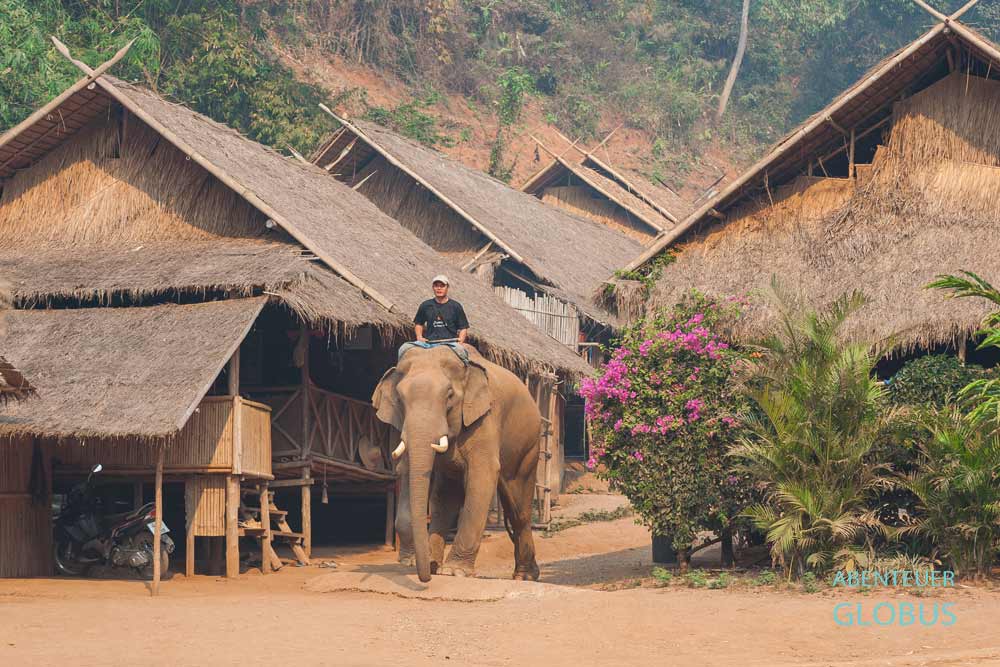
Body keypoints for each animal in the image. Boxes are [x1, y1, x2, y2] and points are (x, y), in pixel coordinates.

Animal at [372, 344, 541, 583]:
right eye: (400, 398)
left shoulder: (485, 419)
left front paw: (455, 572)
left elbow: (483, 475)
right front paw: (415, 562)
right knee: (446, 497)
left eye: (449, 395)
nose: (425, 578)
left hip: (529, 446)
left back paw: (524, 577)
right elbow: (405, 471)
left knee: (518, 509)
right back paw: (435, 565)